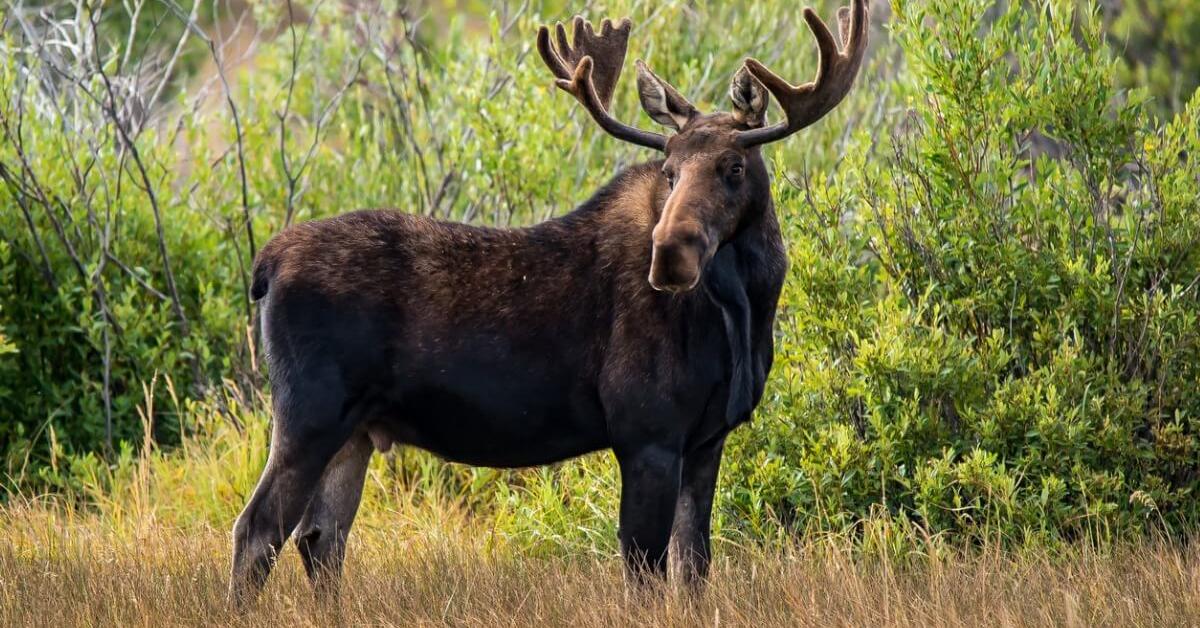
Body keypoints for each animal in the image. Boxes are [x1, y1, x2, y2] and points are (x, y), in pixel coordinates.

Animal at [229, 2, 868, 607]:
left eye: (733, 166)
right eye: (669, 170)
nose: (669, 255)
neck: (744, 312)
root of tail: (265, 268)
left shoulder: (707, 441)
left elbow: (694, 569)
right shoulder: (647, 434)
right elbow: (644, 570)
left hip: (355, 430)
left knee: (320, 537)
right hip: (309, 414)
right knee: (259, 529)